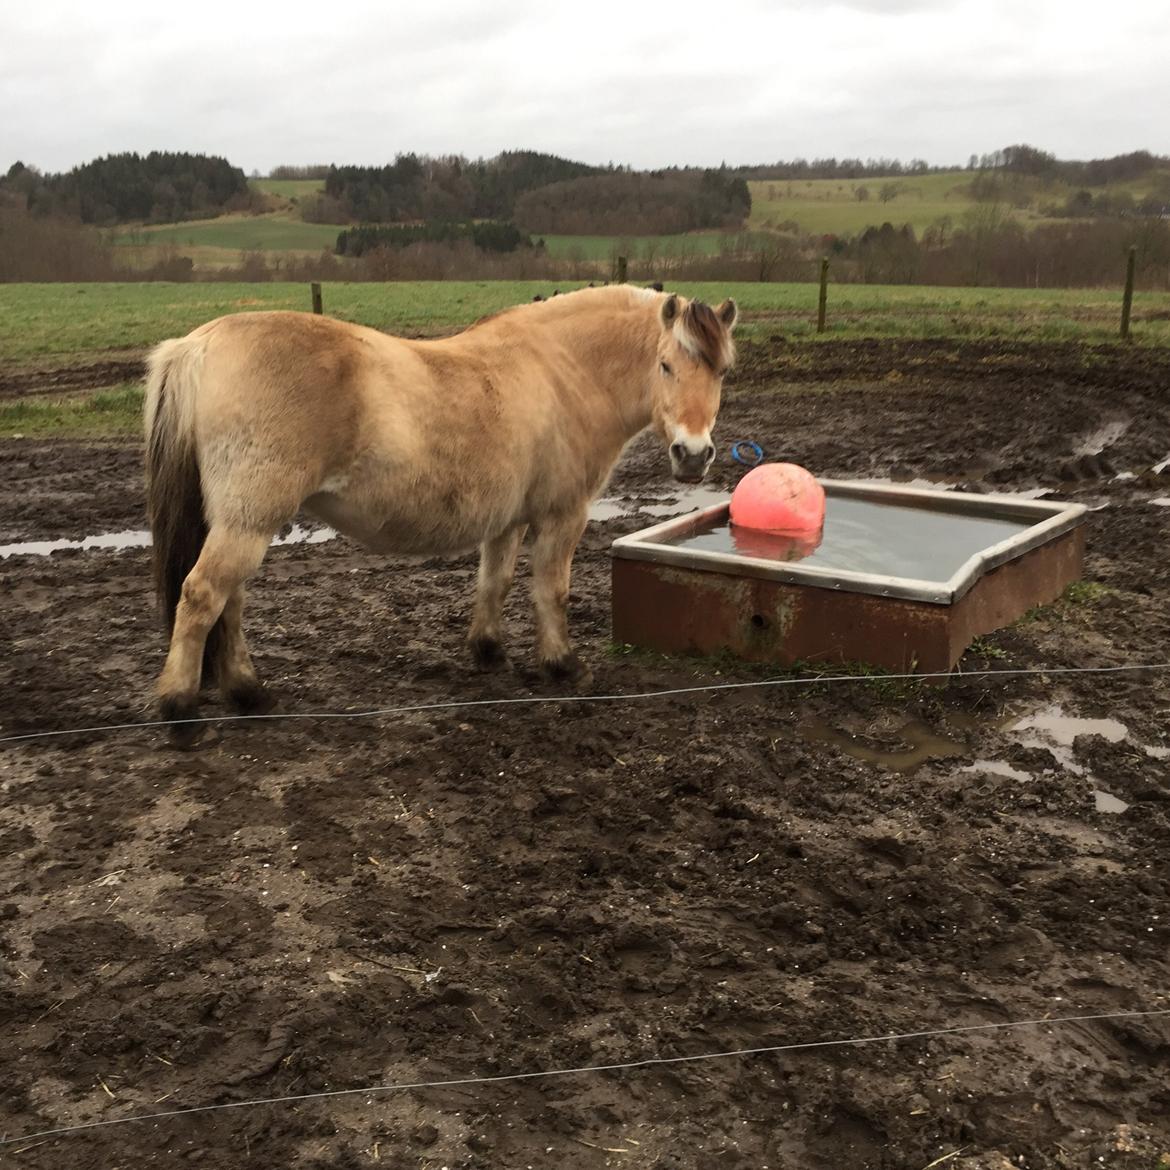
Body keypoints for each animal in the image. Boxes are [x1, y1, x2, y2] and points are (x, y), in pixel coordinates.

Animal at [141, 284, 734, 744]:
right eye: (665, 365)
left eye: (722, 372)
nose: (694, 454)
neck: (562, 371)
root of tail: (199, 344)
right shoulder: (562, 513)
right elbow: (552, 590)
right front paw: (562, 664)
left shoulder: (508, 519)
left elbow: (494, 581)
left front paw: (488, 651)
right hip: (249, 521)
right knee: (203, 597)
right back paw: (182, 713)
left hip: (240, 522)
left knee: (230, 603)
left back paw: (248, 694)